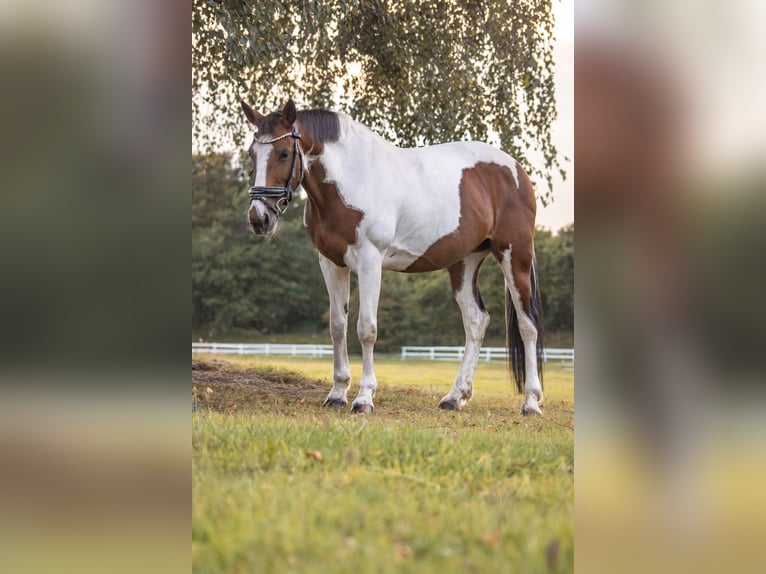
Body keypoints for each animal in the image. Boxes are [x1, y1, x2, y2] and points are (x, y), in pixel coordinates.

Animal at [241, 99, 545, 415]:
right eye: (252, 153)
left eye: (284, 152)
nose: (259, 218)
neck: (350, 178)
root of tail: (516, 170)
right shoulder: (331, 263)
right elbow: (337, 326)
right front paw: (337, 394)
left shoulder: (370, 261)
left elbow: (366, 329)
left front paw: (364, 398)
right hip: (465, 262)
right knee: (476, 322)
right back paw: (454, 397)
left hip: (514, 256)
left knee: (528, 326)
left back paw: (531, 402)